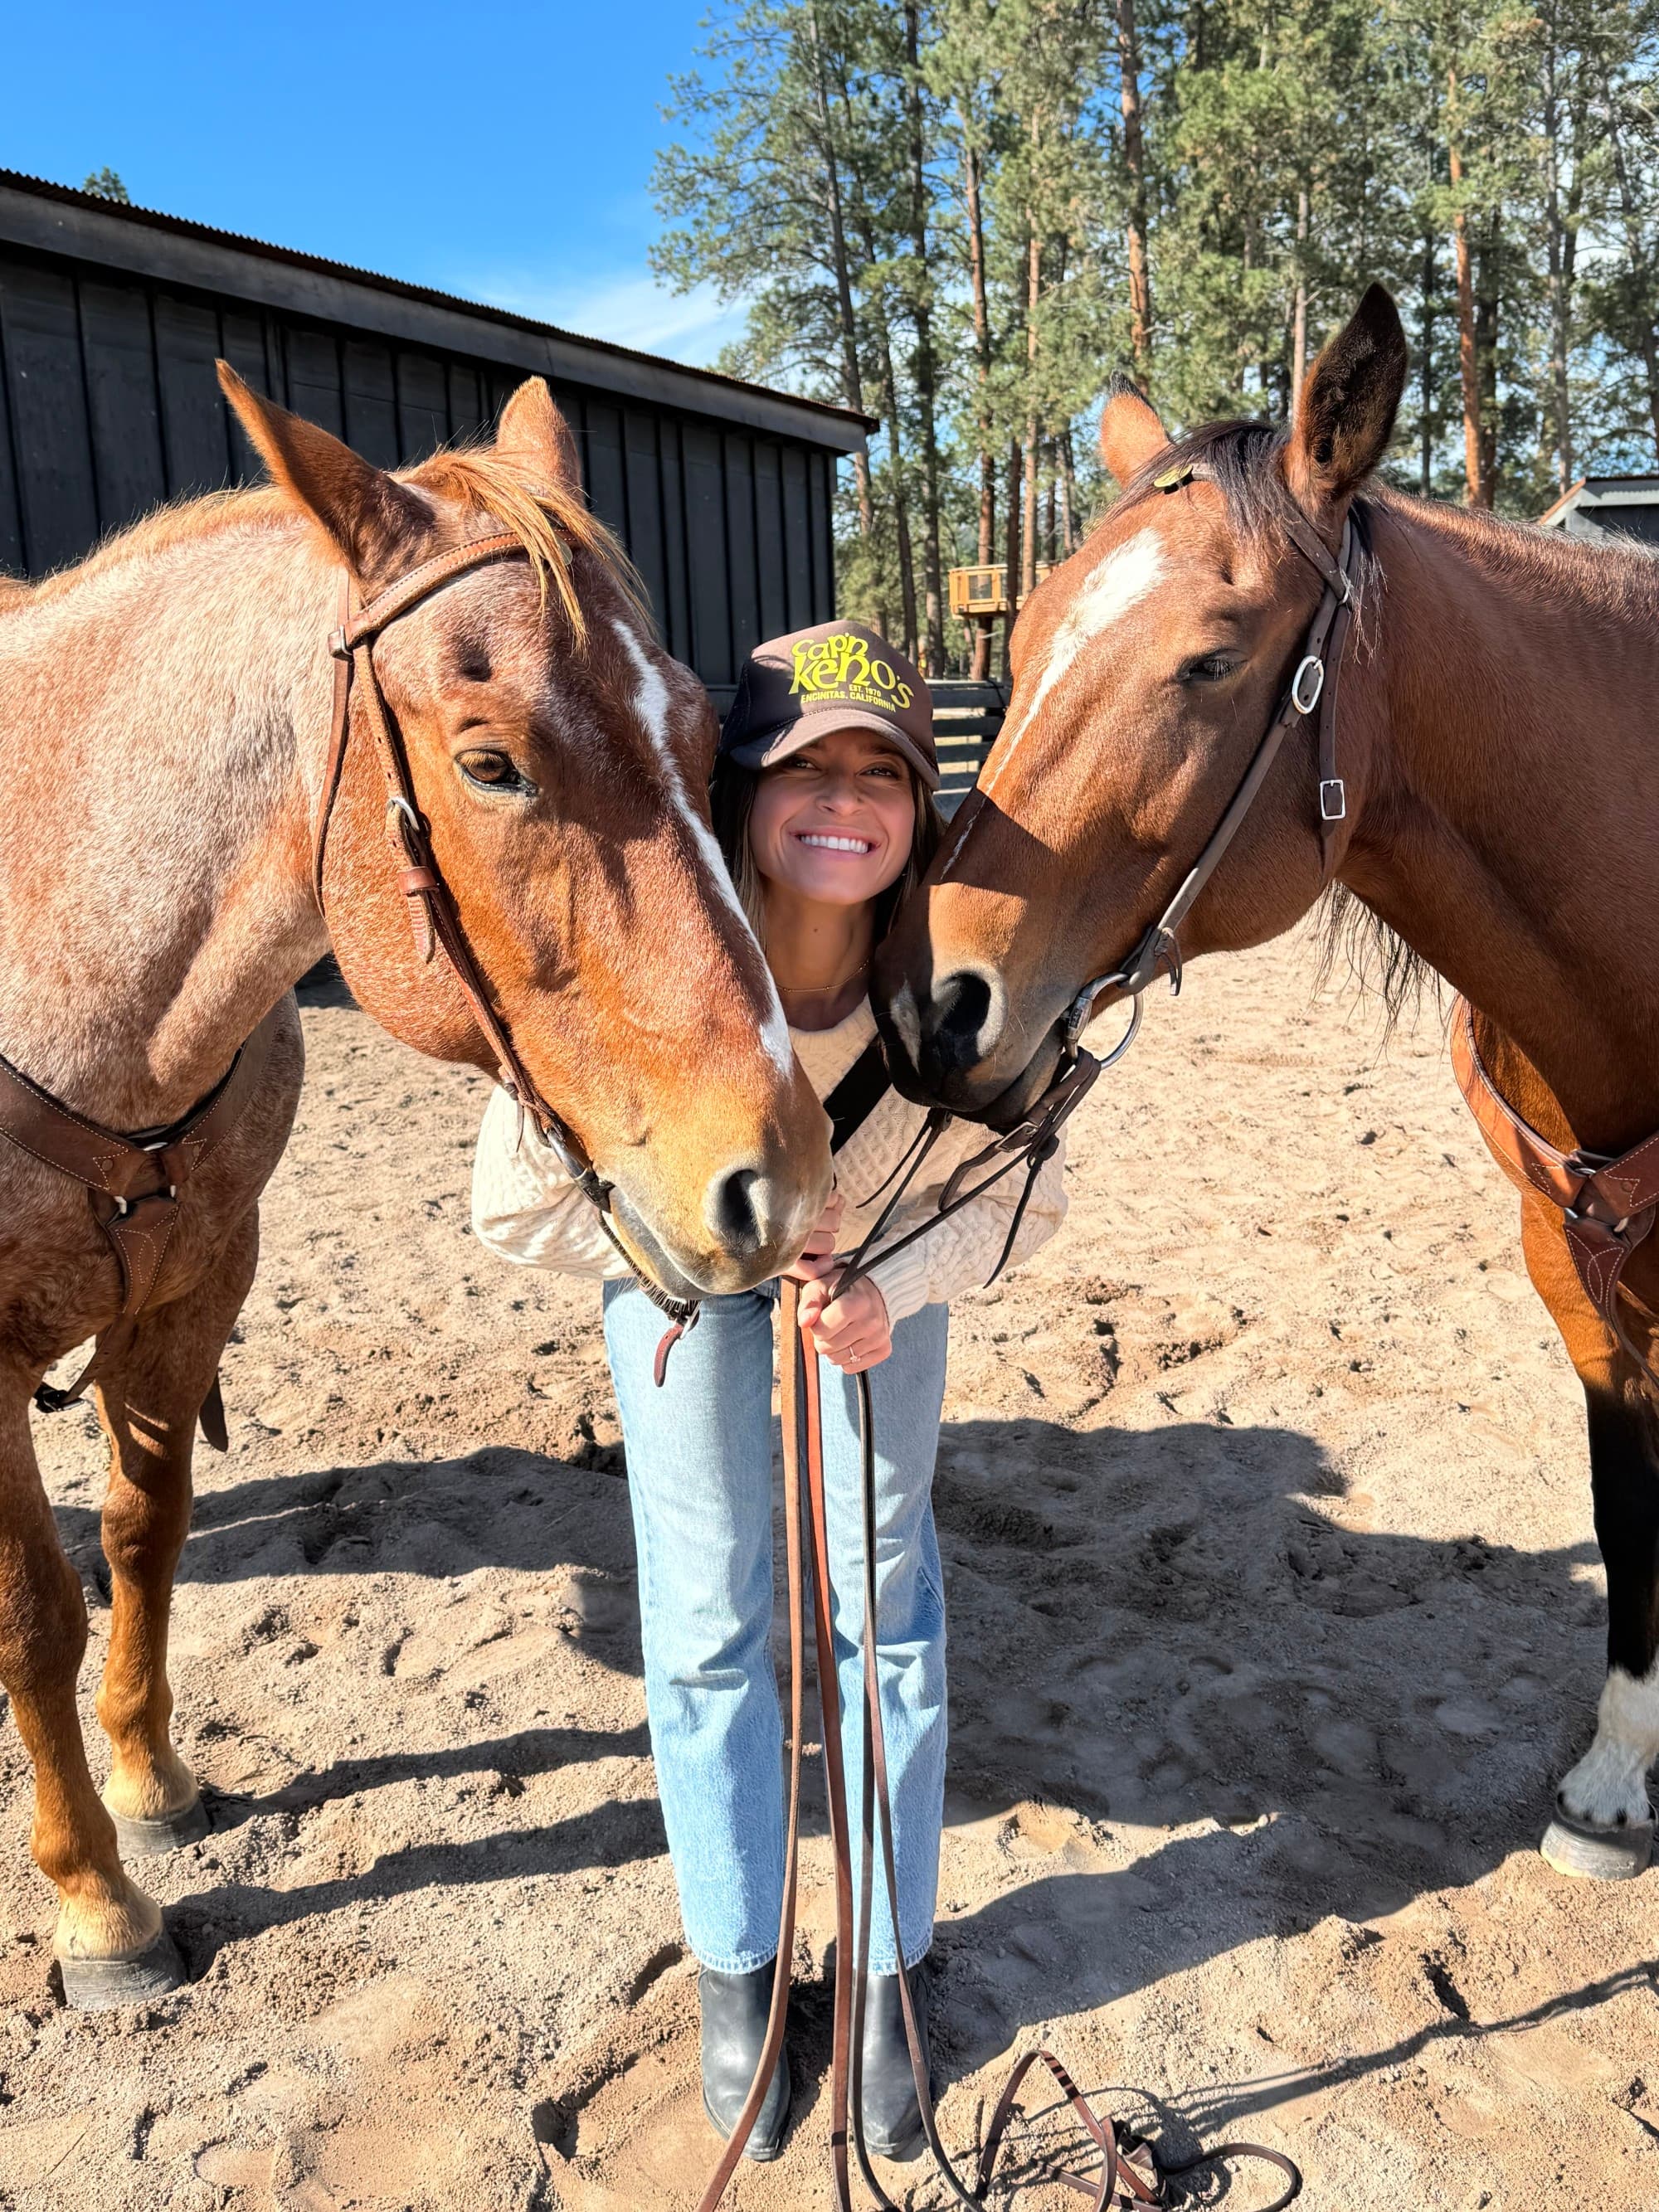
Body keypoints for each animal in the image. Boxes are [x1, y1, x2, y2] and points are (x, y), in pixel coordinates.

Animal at [0, 372, 828, 2006]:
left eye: (703, 725)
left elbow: (141, 1531)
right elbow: (37, 1620)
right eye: (490, 760)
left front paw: (152, 1783)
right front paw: (99, 1903)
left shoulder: (197, 1283)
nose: (775, 1178)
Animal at [874, 284, 1659, 1882]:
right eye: (1022, 635)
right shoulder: (1580, 1287)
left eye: (1213, 658)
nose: (931, 1005)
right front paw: (1619, 1777)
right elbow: (1631, 1514)